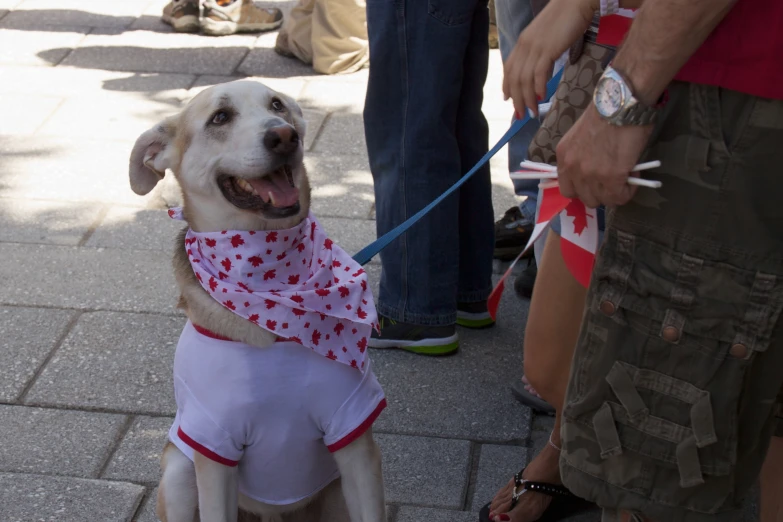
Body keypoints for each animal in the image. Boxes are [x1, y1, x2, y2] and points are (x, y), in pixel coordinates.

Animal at [128, 80, 386, 520]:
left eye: (277, 105)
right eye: (219, 117)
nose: (284, 136)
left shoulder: (354, 436)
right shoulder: (213, 445)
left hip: (333, 494)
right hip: (179, 471)